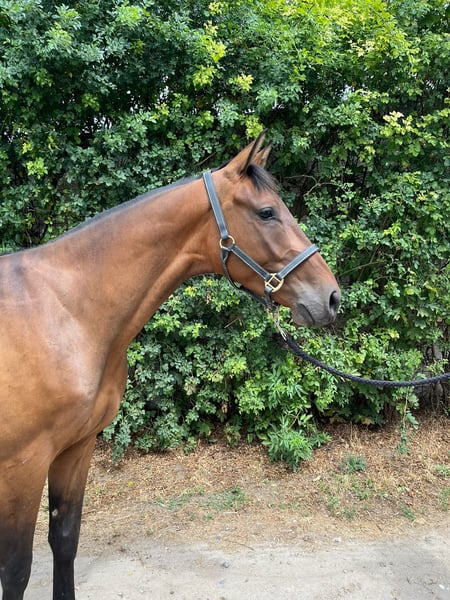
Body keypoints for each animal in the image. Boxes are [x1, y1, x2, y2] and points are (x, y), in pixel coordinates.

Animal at [0, 133, 340, 599]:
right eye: (267, 212)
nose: (332, 297)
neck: (67, 311)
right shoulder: (23, 465)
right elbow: (16, 570)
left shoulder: (77, 447)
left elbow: (64, 541)